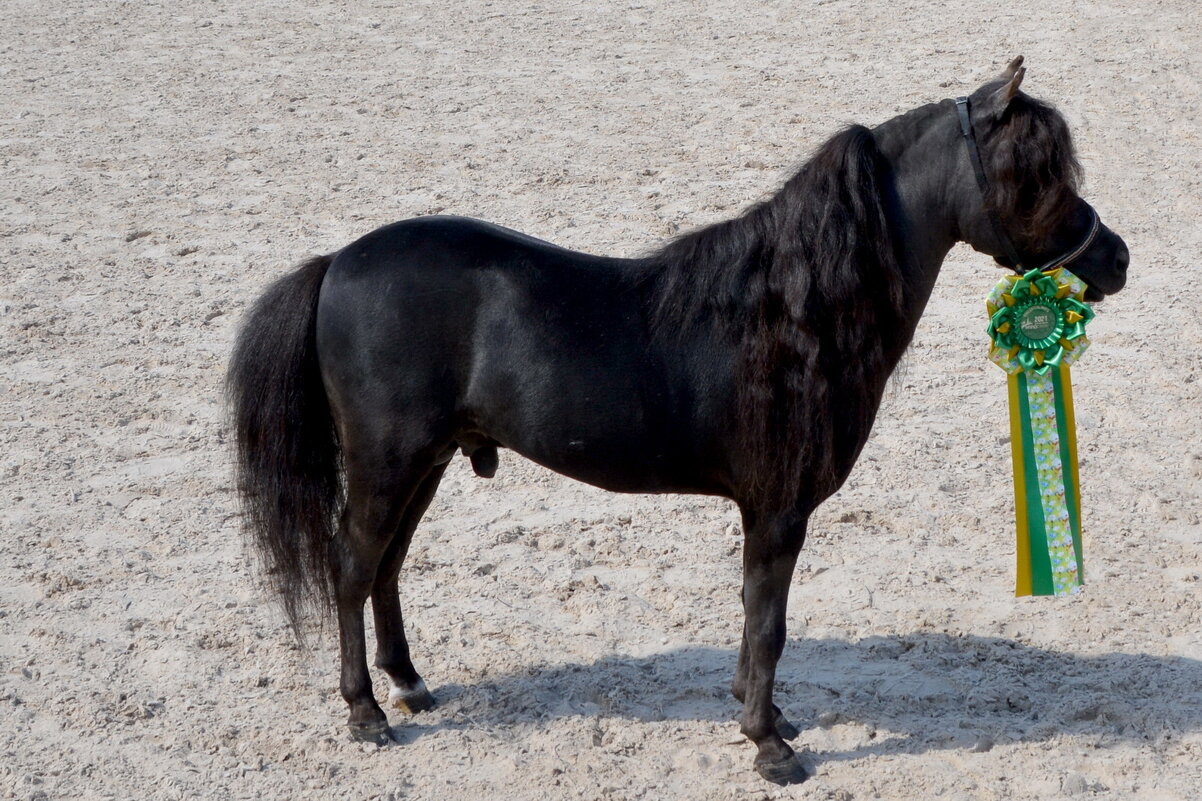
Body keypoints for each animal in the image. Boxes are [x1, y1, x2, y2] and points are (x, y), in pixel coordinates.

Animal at [227, 59, 1125, 784]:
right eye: (1035, 172)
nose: (1114, 257)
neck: (794, 310)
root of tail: (337, 263)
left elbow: (757, 621)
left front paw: (766, 714)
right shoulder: (777, 510)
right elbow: (768, 621)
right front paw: (769, 744)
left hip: (427, 460)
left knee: (385, 567)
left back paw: (410, 684)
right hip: (387, 460)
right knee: (352, 567)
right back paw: (365, 712)